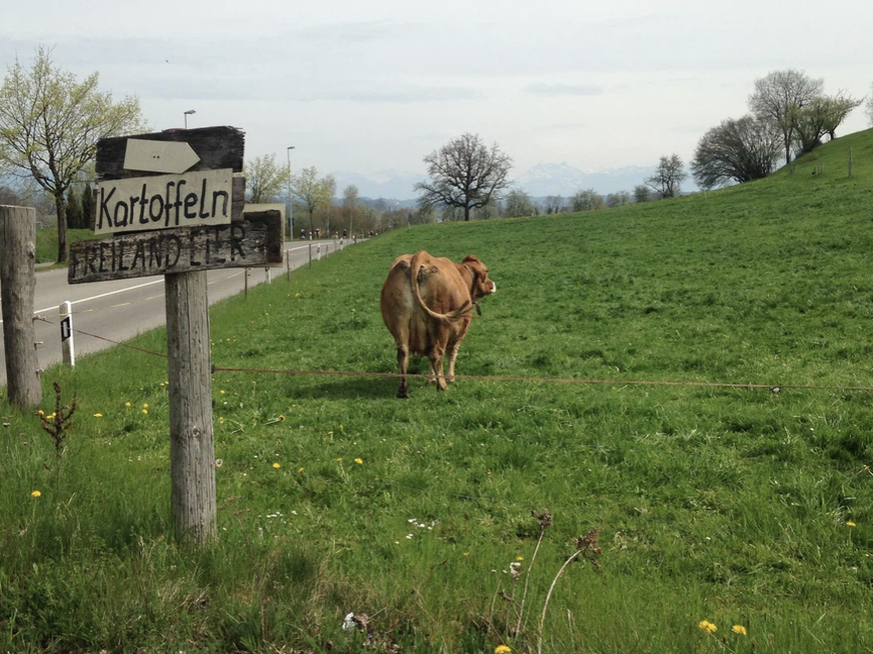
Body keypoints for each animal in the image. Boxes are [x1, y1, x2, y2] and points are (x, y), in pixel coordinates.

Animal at [378, 252, 494, 400]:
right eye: (487, 270)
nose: (492, 284)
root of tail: (419, 255)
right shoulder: (460, 331)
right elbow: (452, 352)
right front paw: (450, 378)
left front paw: (431, 379)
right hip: (440, 325)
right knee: (437, 353)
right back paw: (443, 385)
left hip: (399, 322)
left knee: (403, 353)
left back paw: (403, 390)